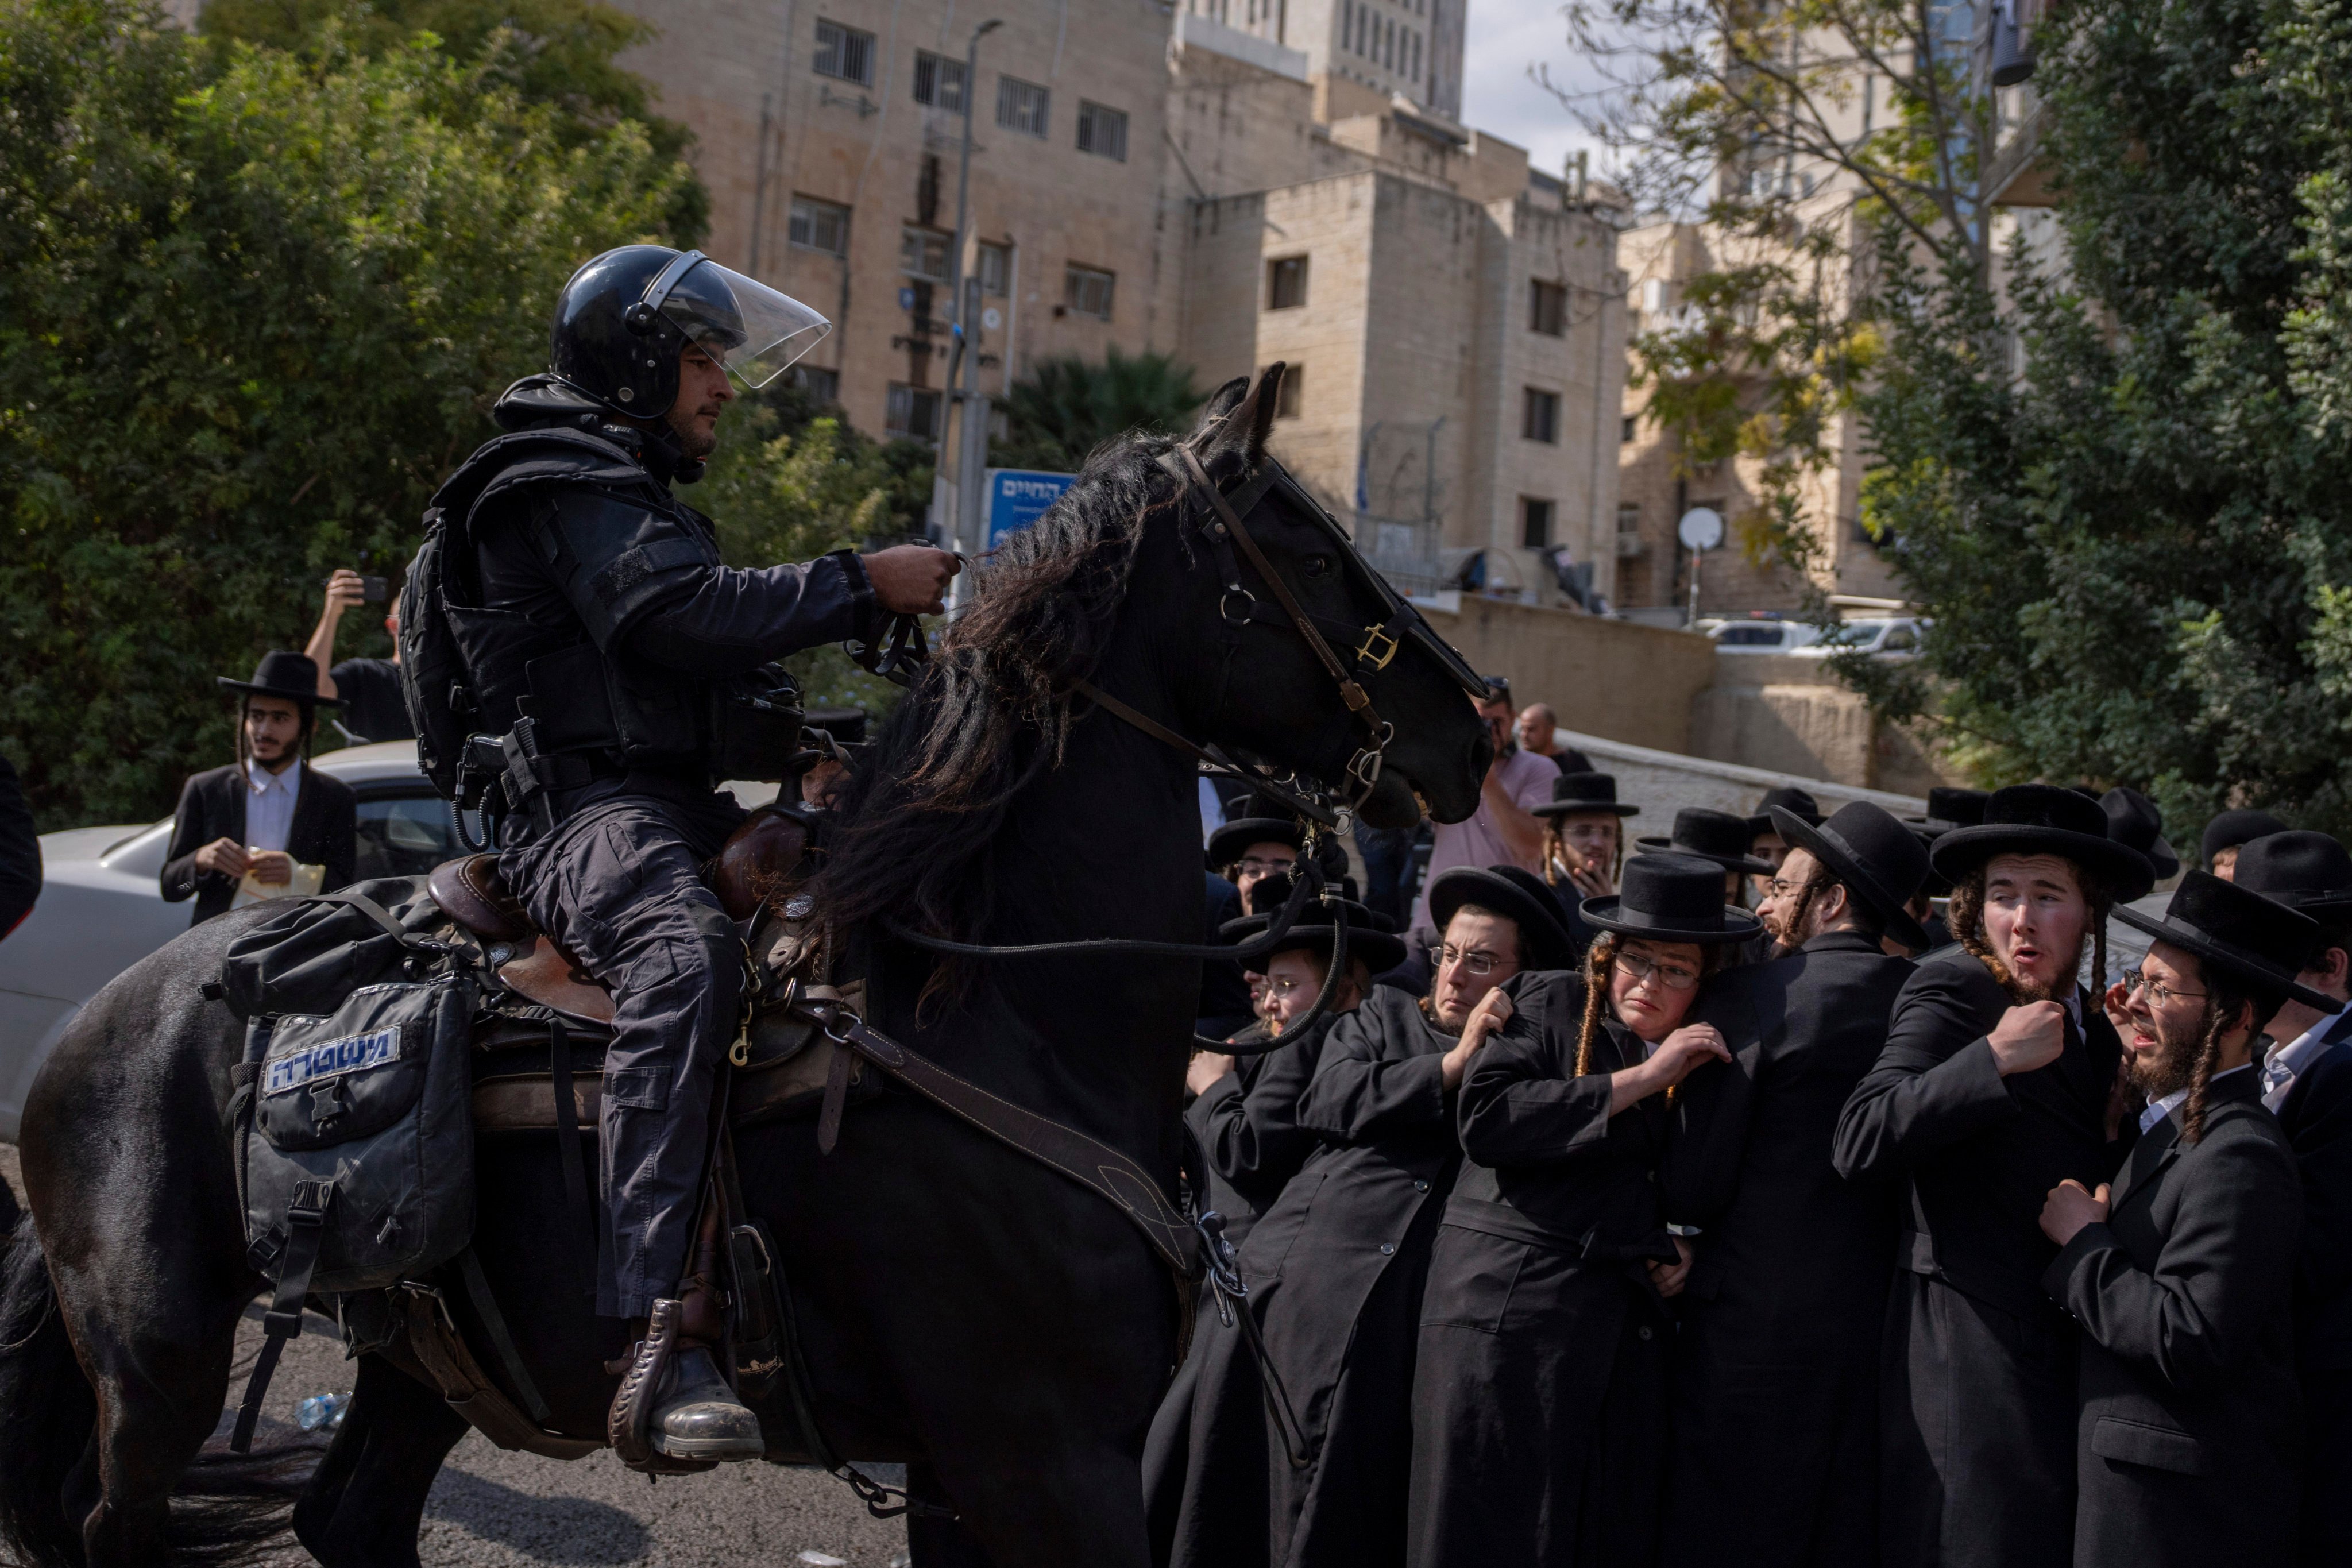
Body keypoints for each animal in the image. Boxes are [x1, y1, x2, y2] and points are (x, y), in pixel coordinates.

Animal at [0, 371, 1486, 1568]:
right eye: (1308, 548)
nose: (1469, 730)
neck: (995, 1007)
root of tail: (107, 1020)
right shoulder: (1042, 1463)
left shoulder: (966, 1477)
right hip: (161, 1358)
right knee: (118, 1525)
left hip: (423, 1362)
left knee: (346, 1518)